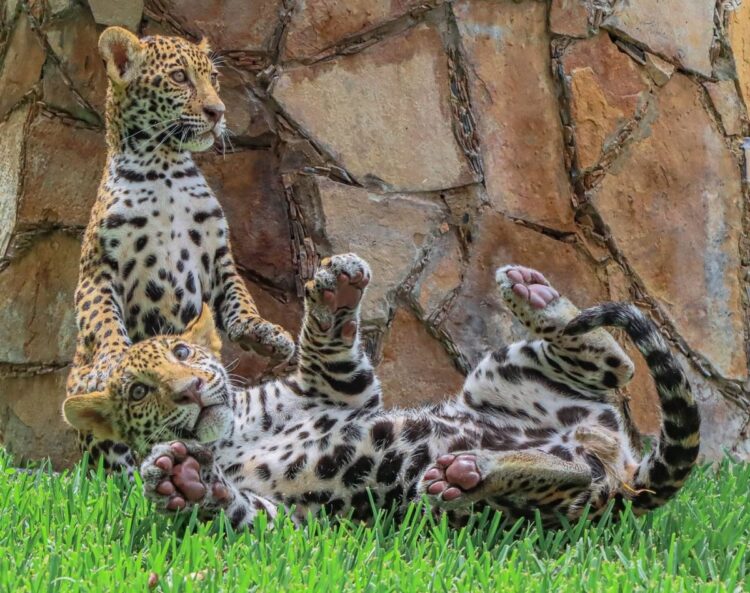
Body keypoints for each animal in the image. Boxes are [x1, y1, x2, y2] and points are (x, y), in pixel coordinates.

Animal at [63, 253, 700, 529]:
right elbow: (245, 511)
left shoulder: (336, 391)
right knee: (573, 467)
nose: (191, 390)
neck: (230, 437)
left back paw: (534, 294)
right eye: (139, 391)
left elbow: (325, 344)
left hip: (503, 373)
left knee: (617, 364)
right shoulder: (296, 523)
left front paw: (334, 290)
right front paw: (182, 480)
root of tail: (627, 474)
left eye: (183, 353)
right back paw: (470, 473)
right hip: (545, 496)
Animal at [65, 27, 295, 476]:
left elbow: (241, 299)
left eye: (213, 79)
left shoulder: (217, 257)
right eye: (178, 77)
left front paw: (264, 332)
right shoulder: (98, 268)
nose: (217, 111)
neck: (164, 167)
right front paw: (113, 360)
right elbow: (103, 320)